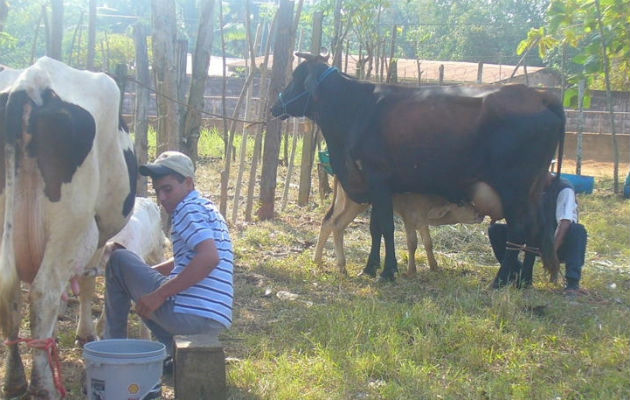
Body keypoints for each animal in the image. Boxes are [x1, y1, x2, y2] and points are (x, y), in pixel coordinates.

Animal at [0, 57, 138, 400]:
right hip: (74, 228)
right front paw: (85, 333)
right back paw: (43, 385)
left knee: (10, 295)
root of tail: (30, 83)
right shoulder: (98, 237)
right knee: (42, 293)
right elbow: (87, 283)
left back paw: (14, 380)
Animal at [316, 180, 484, 276]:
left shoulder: (422, 222)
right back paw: (342, 267)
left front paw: (434, 266)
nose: (480, 214)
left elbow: (428, 243)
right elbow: (412, 243)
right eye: (460, 204)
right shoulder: (408, 220)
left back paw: (317, 261)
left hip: (343, 200)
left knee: (327, 222)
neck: (427, 201)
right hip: (355, 203)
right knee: (337, 224)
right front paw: (411, 270)